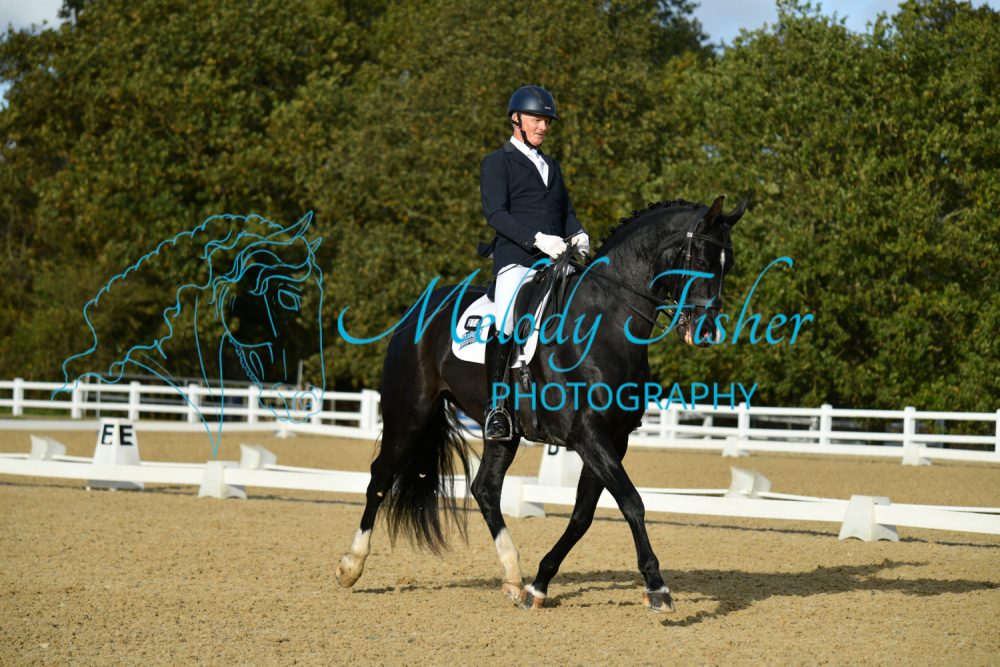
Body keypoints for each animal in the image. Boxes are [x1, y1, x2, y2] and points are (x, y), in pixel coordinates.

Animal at [335, 196, 746, 611]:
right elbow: (632, 502)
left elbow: (582, 515)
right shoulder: (587, 434)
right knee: (380, 477)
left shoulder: (614, 439)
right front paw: (657, 586)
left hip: (502, 431)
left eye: (728, 263)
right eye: (700, 259)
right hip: (410, 413)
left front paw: (540, 585)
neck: (604, 324)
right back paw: (351, 566)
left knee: (485, 489)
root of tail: (418, 309)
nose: (705, 333)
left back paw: (514, 577)